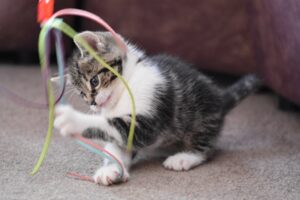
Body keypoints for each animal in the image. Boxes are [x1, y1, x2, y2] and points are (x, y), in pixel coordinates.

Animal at [52, 31, 262, 186]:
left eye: (94, 81)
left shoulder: (150, 114)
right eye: (82, 94)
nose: (93, 103)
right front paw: (111, 169)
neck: (125, 91)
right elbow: (116, 145)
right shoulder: (125, 134)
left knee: (206, 147)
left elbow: (110, 125)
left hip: (201, 116)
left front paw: (73, 120)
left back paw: (184, 157)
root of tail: (220, 97)